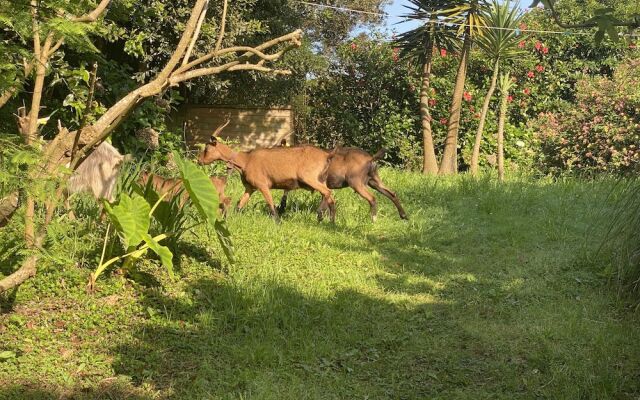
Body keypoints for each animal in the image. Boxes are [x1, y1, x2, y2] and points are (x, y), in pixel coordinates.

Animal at [198, 135, 338, 222]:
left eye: (207, 149)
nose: (198, 160)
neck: (245, 160)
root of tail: (327, 155)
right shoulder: (250, 188)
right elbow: (240, 204)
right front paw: (231, 218)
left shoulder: (262, 185)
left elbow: (271, 204)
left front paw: (278, 222)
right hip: (320, 180)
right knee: (331, 198)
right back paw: (331, 222)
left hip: (309, 178)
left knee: (327, 192)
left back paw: (320, 215)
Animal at [278, 145, 408, 222]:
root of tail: (371, 158)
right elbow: (329, 202)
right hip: (374, 181)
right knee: (392, 193)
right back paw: (404, 215)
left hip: (356, 182)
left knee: (372, 198)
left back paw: (372, 220)